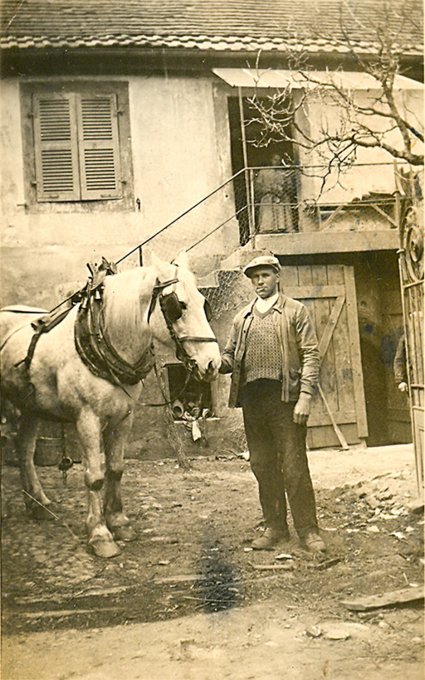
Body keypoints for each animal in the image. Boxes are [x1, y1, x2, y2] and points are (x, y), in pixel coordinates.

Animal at [0, 252, 219, 556]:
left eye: (203, 302)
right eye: (179, 306)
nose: (213, 363)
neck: (100, 336)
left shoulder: (124, 417)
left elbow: (115, 469)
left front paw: (119, 522)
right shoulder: (87, 419)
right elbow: (94, 475)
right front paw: (100, 534)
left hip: (31, 406)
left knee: (24, 449)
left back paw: (38, 504)